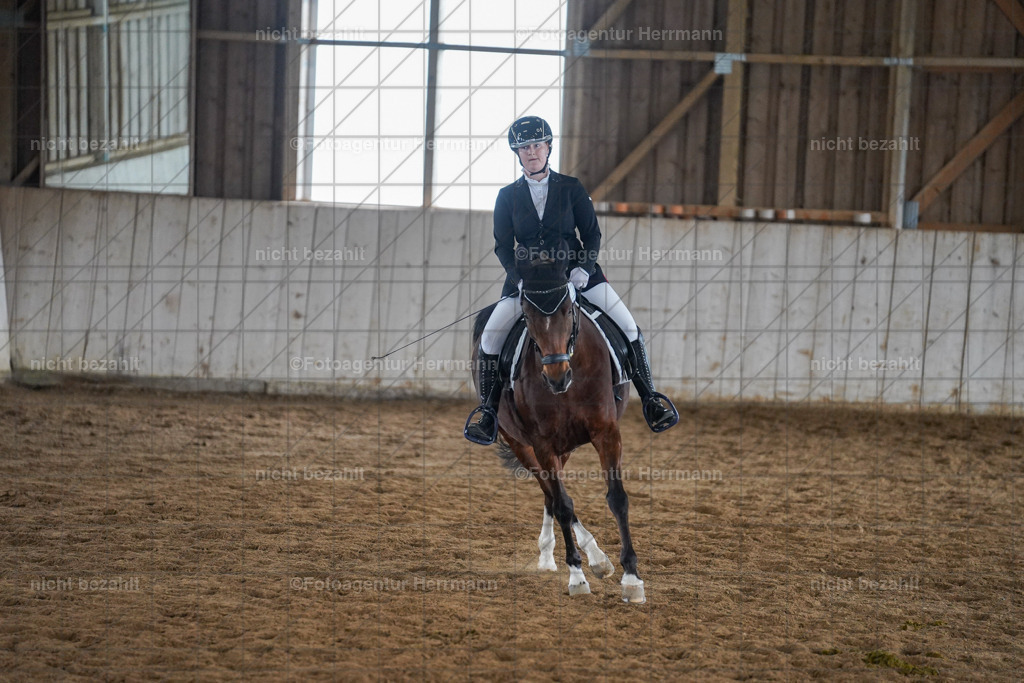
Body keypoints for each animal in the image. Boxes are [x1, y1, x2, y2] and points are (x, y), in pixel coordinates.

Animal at [471, 253, 645, 603]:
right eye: (526, 314)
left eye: (567, 309)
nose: (556, 377)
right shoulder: (542, 444)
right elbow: (564, 504)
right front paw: (577, 577)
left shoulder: (607, 432)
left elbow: (617, 498)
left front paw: (632, 579)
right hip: (520, 443)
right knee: (552, 492)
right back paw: (577, 557)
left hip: (564, 447)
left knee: (552, 494)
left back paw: (591, 557)